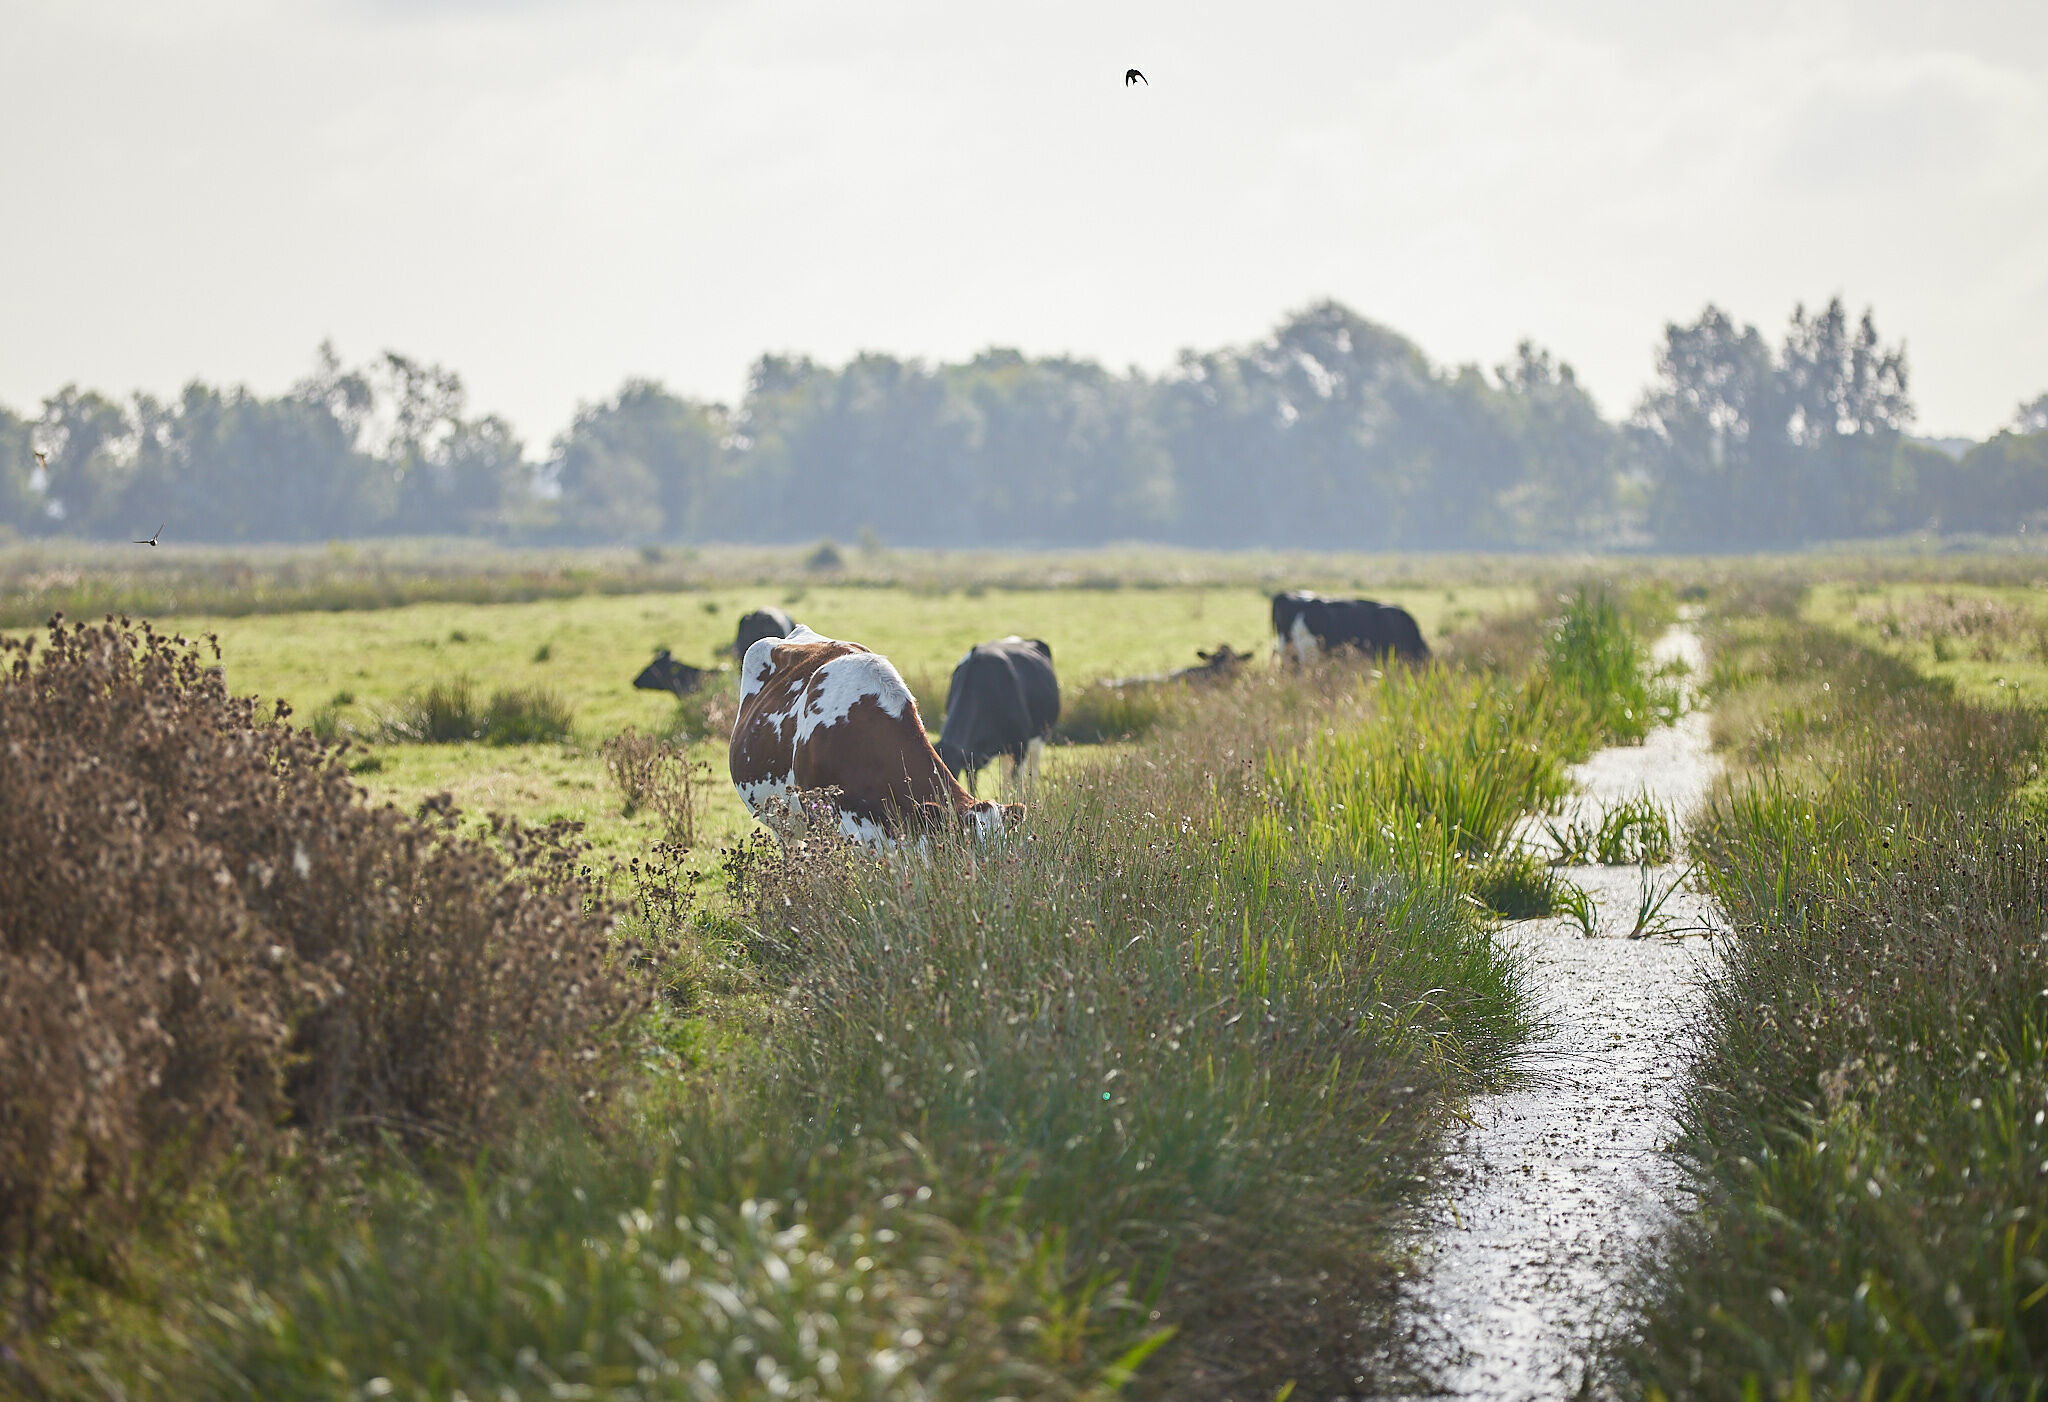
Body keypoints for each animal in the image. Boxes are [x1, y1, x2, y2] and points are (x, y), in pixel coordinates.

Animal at [929, 638, 1056, 794]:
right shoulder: (971, 759)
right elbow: (973, 788)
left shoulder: (1020, 747)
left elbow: (1017, 785)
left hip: (1038, 739)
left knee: (1031, 773)